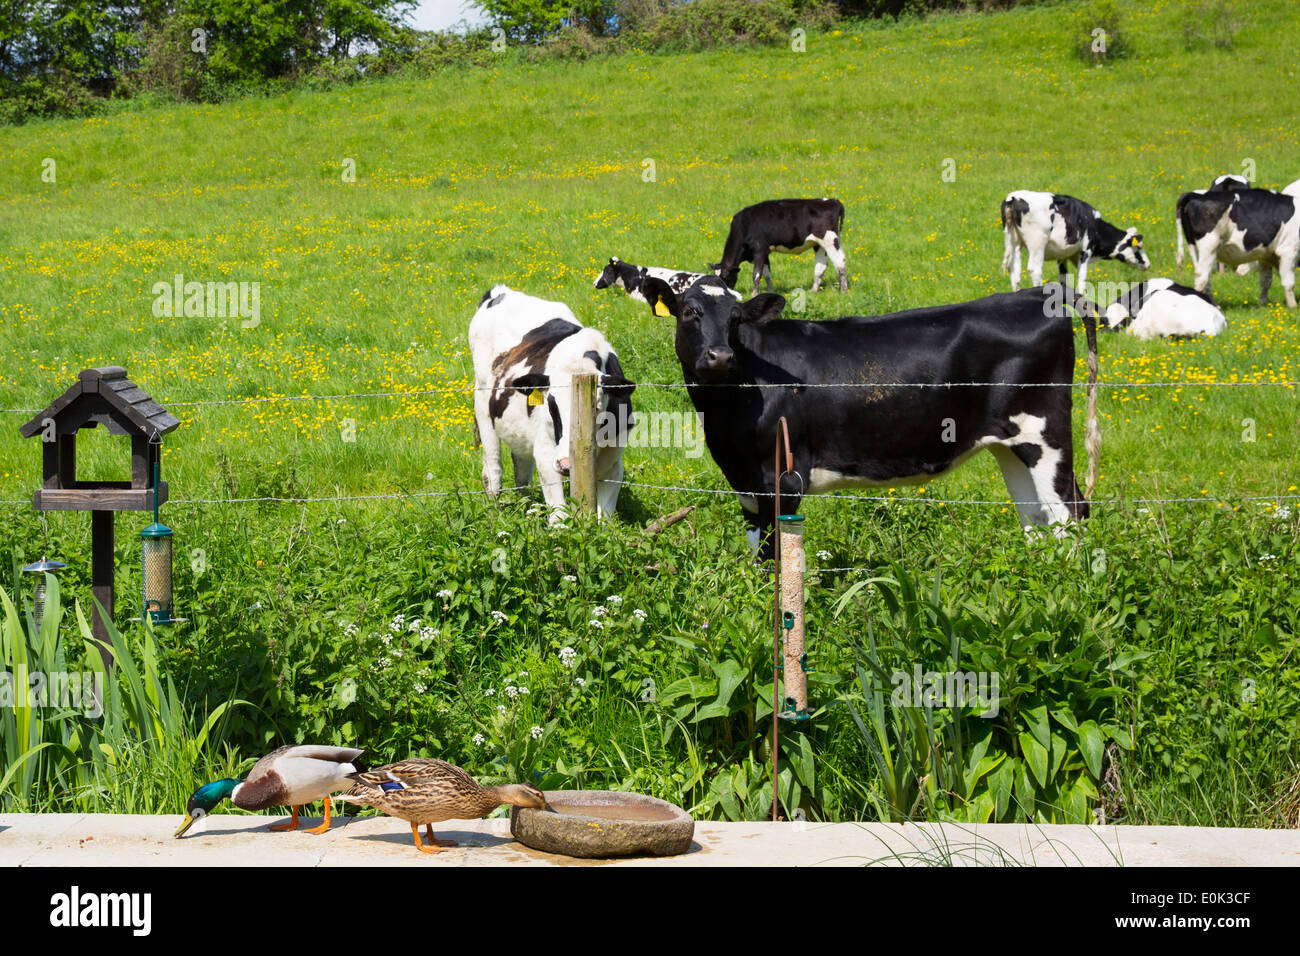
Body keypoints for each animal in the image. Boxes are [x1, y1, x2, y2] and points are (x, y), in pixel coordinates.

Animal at [470, 283, 637, 522]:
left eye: (597, 408)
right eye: (551, 405)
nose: (566, 463)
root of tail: (500, 291)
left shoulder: (613, 461)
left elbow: (603, 519)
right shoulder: (546, 452)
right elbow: (559, 518)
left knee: (522, 472)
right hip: (483, 404)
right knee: (493, 470)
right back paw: (494, 514)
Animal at [639, 273, 1097, 556]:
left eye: (736, 319)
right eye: (689, 312)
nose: (721, 355)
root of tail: (1041, 293)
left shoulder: (782, 479)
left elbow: (775, 559)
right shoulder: (747, 484)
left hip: (1045, 434)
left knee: (1070, 512)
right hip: (1009, 442)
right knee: (1036, 518)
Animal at [707, 197, 847, 295]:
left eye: (724, 277)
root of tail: (832, 201)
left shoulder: (759, 250)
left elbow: (756, 274)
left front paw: (754, 293)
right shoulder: (764, 253)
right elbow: (767, 274)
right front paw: (771, 291)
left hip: (830, 240)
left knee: (840, 262)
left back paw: (844, 290)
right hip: (818, 244)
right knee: (821, 266)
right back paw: (813, 290)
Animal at [1003, 188, 1149, 290]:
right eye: (1138, 247)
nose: (1148, 264)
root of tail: (1014, 197)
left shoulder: (1062, 255)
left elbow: (1063, 278)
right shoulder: (1086, 249)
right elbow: (1082, 277)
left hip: (1014, 242)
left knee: (1014, 271)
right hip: (1037, 244)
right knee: (1035, 269)